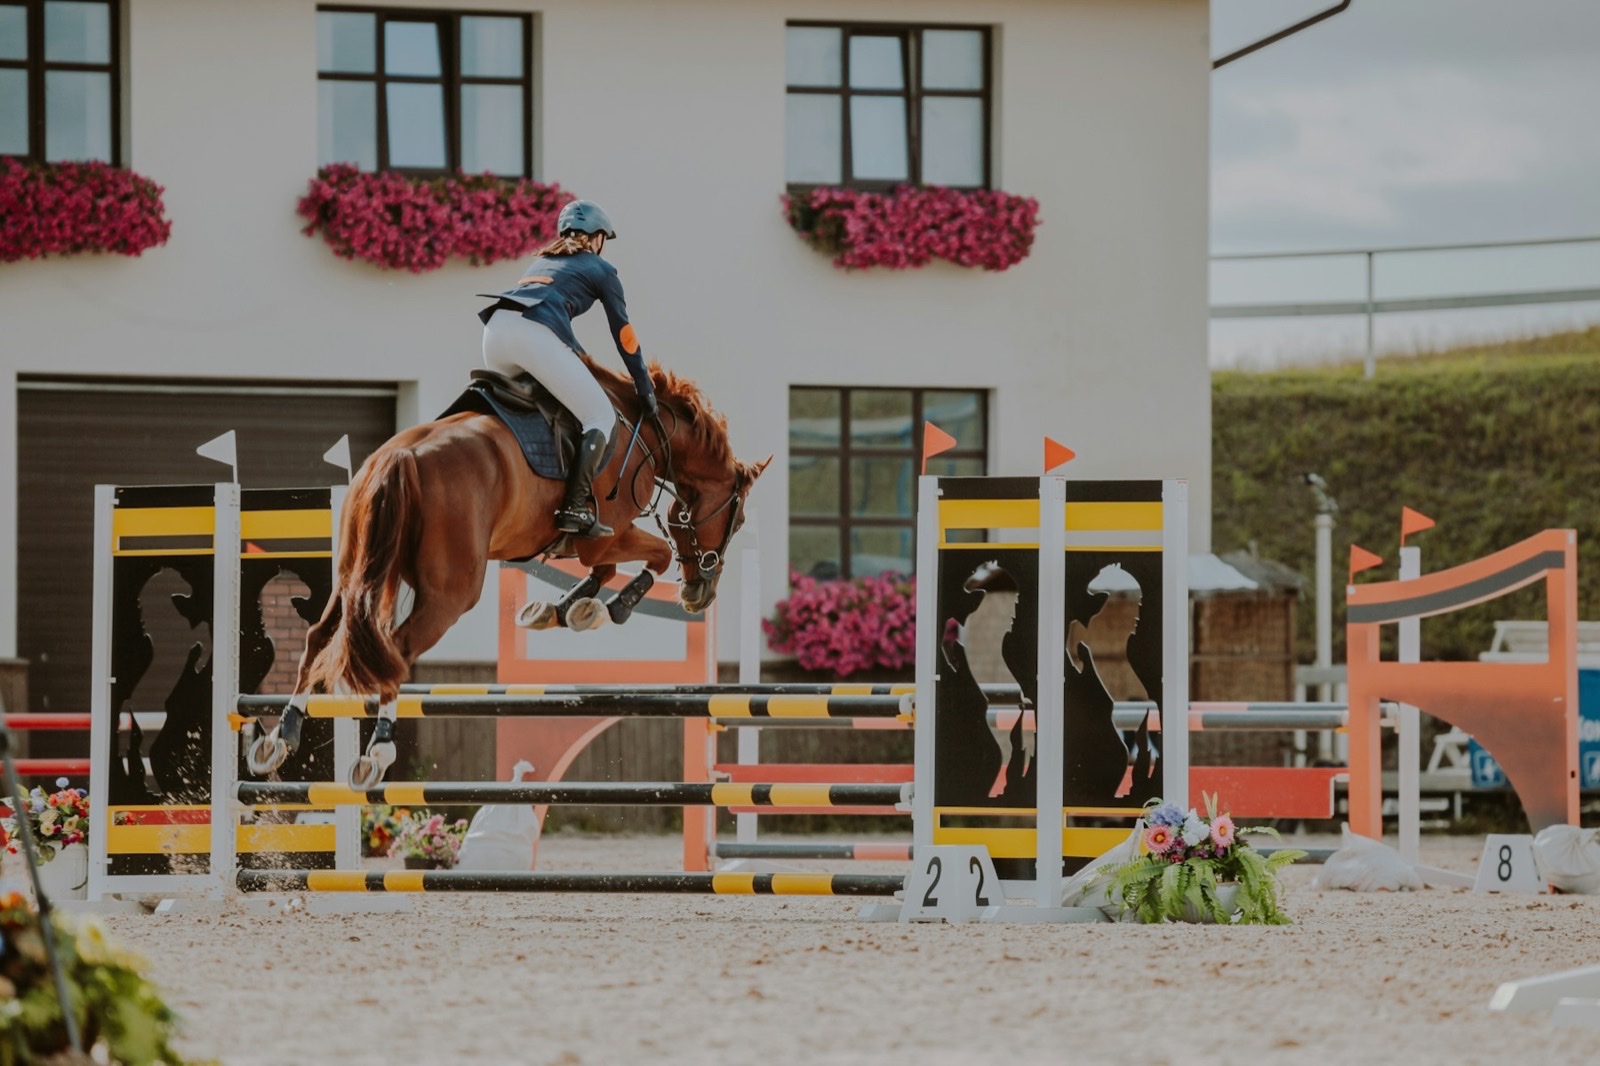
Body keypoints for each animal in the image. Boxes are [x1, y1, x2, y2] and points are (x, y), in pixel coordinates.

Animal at [245, 358, 767, 788]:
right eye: (738, 519)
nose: (700, 594)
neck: (646, 434)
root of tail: (400, 457)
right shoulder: (603, 533)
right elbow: (651, 556)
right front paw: (607, 608)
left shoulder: (590, 542)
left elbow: (604, 570)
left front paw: (562, 609)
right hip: (452, 593)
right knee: (399, 649)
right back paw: (378, 752)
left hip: (357, 574)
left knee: (319, 636)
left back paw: (280, 738)